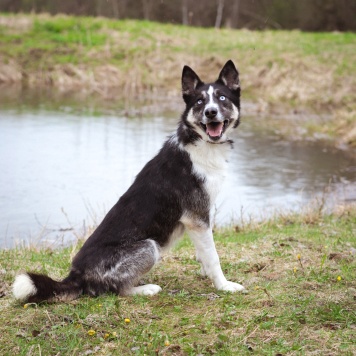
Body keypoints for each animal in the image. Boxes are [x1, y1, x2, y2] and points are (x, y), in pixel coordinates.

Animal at [11, 59, 245, 304]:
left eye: (222, 98)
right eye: (200, 101)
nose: (211, 112)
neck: (200, 143)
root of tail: (76, 276)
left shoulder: (198, 220)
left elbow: (204, 253)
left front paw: (206, 274)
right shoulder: (197, 218)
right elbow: (213, 256)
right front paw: (223, 285)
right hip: (148, 247)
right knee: (117, 290)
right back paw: (145, 289)